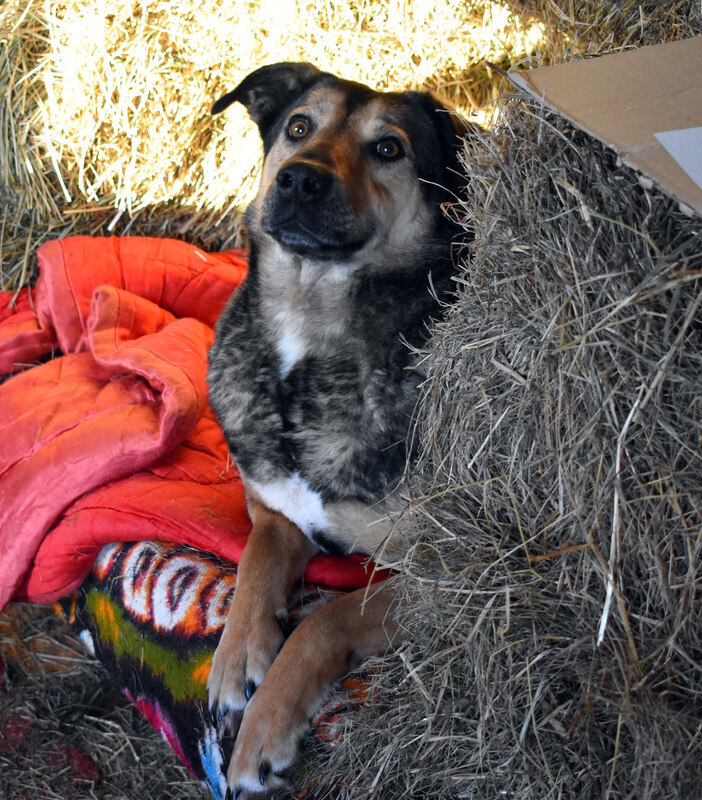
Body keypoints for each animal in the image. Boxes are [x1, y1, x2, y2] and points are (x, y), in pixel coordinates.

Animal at [205, 64, 468, 800]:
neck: (306, 327)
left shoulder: (441, 577)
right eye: (299, 126)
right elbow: (254, 562)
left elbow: (325, 619)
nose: (300, 179)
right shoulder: (273, 510)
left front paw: (263, 732)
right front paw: (235, 657)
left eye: (389, 148)